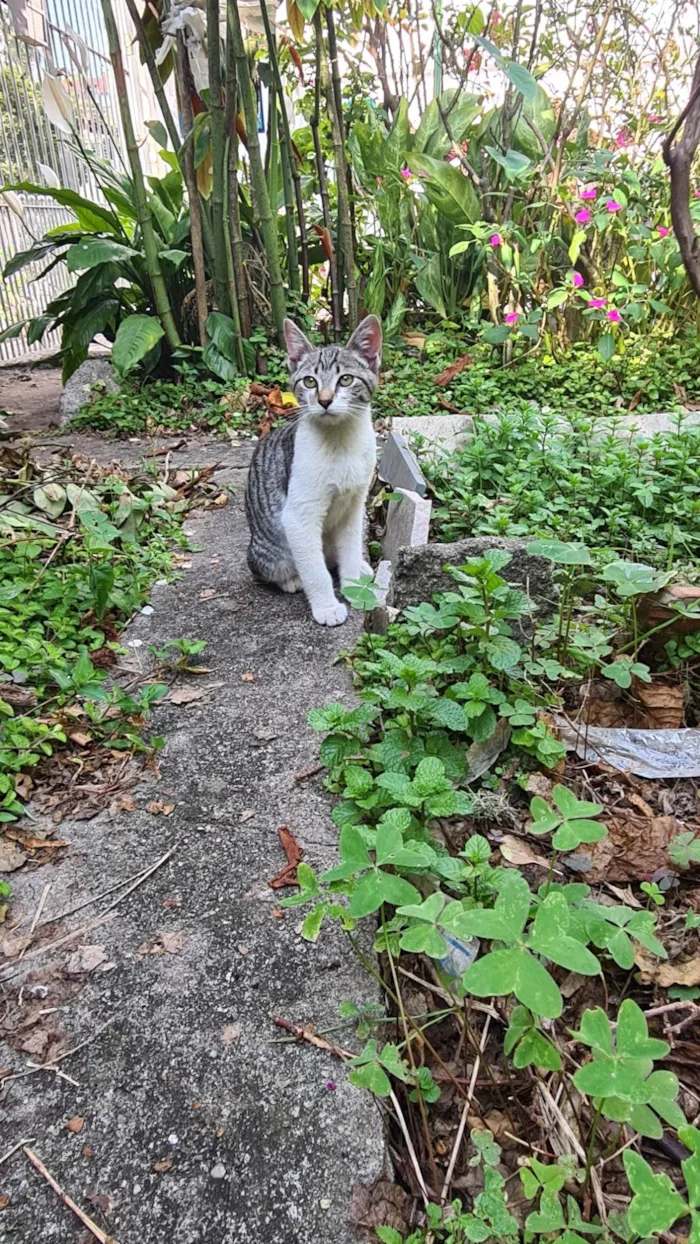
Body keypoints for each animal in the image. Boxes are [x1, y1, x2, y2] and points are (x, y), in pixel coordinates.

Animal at [243, 315, 380, 626]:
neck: (341, 443)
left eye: (346, 379)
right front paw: (327, 606)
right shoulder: (298, 517)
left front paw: (353, 585)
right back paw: (292, 579)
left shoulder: (355, 505)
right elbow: (315, 570)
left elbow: (350, 547)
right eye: (309, 381)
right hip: (270, 549)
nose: (325, 400)